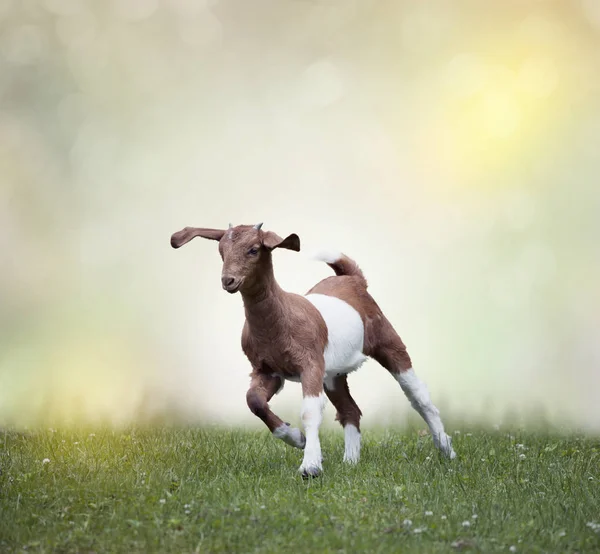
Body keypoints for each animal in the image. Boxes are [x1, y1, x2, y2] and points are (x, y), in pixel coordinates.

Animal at [171, 222, 458, 476]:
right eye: (221, 250)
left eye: (253, 250)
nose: (228, 280)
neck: (282, 316)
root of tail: (353, 279)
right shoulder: (267, 370)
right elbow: (254, 401)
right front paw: (295, 438)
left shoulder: (310, 363)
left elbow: (310, 411)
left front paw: (310, 466)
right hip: (332, 373)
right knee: (349, 410)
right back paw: (350, 462)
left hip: (387, 341)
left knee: (417, 394)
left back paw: (447, 450)